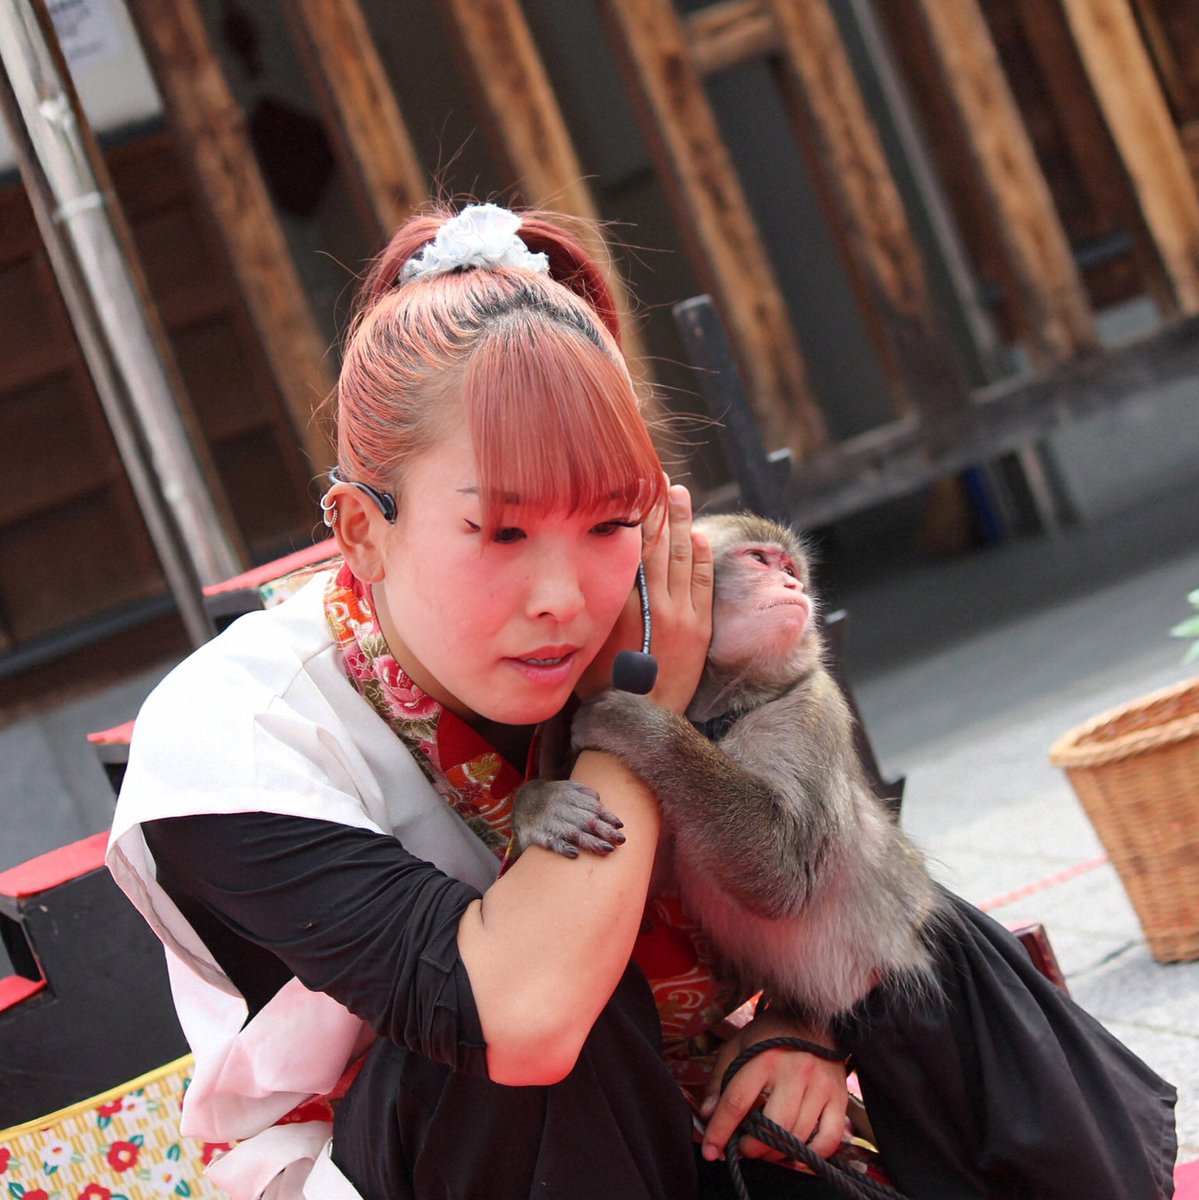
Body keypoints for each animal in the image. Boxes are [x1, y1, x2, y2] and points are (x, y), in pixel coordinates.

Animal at [512, 512, 944, 1028]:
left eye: (790, 568)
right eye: (760, 560)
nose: (793, 585)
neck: (730, 704)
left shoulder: (811, 711)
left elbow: (784, 870)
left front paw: (637, 723)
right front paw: (540, 804)